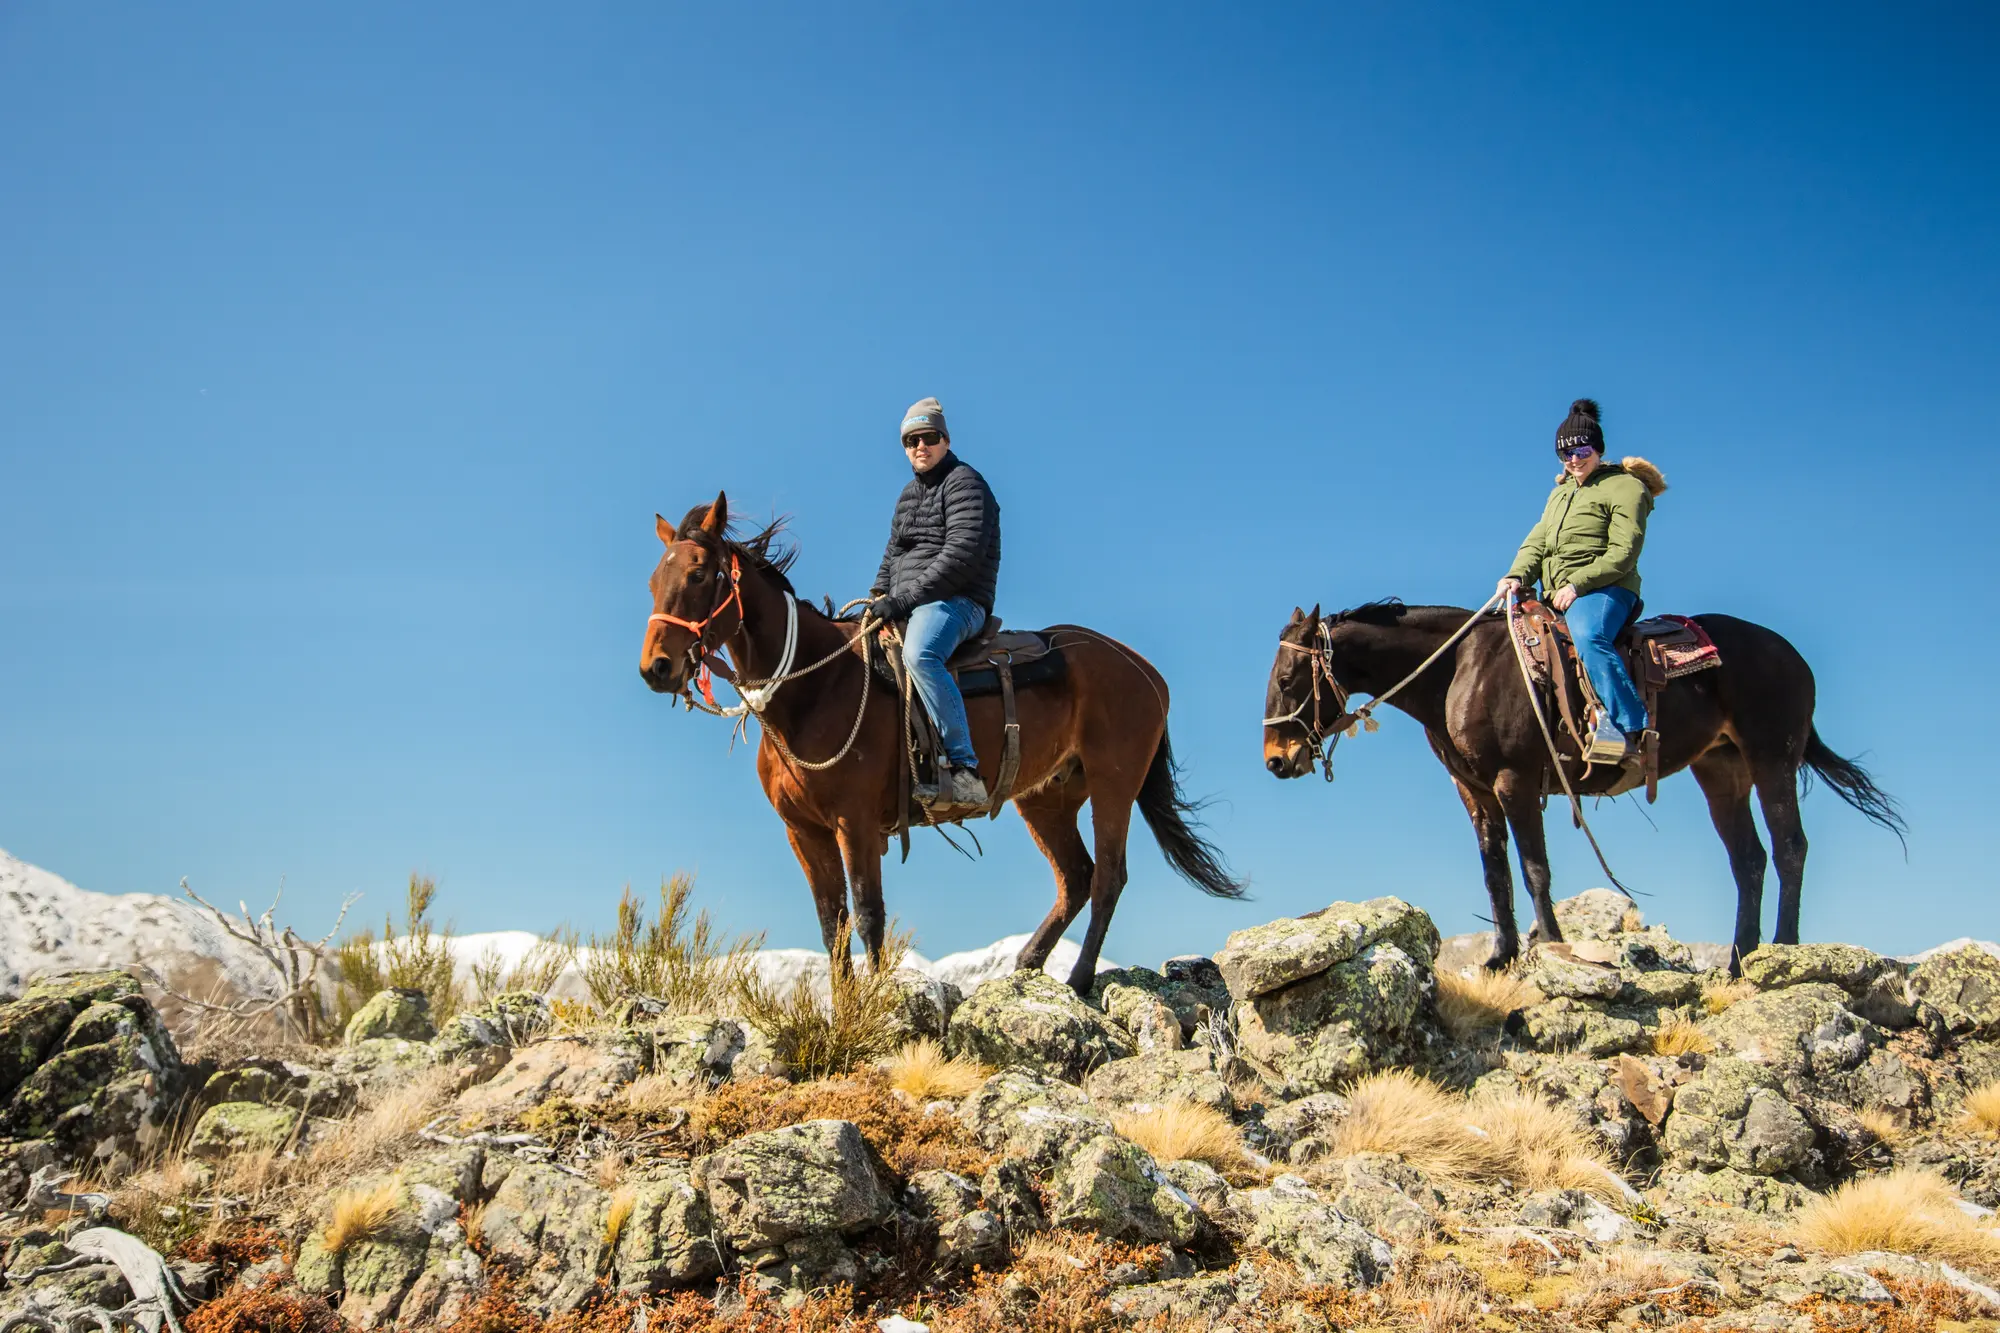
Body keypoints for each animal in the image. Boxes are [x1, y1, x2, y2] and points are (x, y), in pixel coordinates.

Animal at [640, 492, 1245, 991]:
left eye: (699, 575)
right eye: (653, 581)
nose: (656, 668)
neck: (815, 687)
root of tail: (1144, 670)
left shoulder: (856, 823)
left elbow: (868, 915)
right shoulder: (804, 832)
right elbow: (832, 925)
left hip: (1113, 783)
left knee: (1109, 879)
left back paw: (1076, 981)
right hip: (1047, 799)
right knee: (1076, 877)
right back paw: (1027, 967)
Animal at [1261, 601, 1903, 968]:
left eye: (1289, 678)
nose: (1275, 760)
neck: (1458, 671)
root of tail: (1792, 655)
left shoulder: (1516, 780)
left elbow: (1533, 868)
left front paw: (1549, 943)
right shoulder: (1474, 791)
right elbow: (1495, 874)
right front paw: (1501, 957)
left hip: (1772, 758)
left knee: (1790, 846)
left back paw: (1785, 948)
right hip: (1722, 771)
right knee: (1748, 859)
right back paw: (1738, 960)